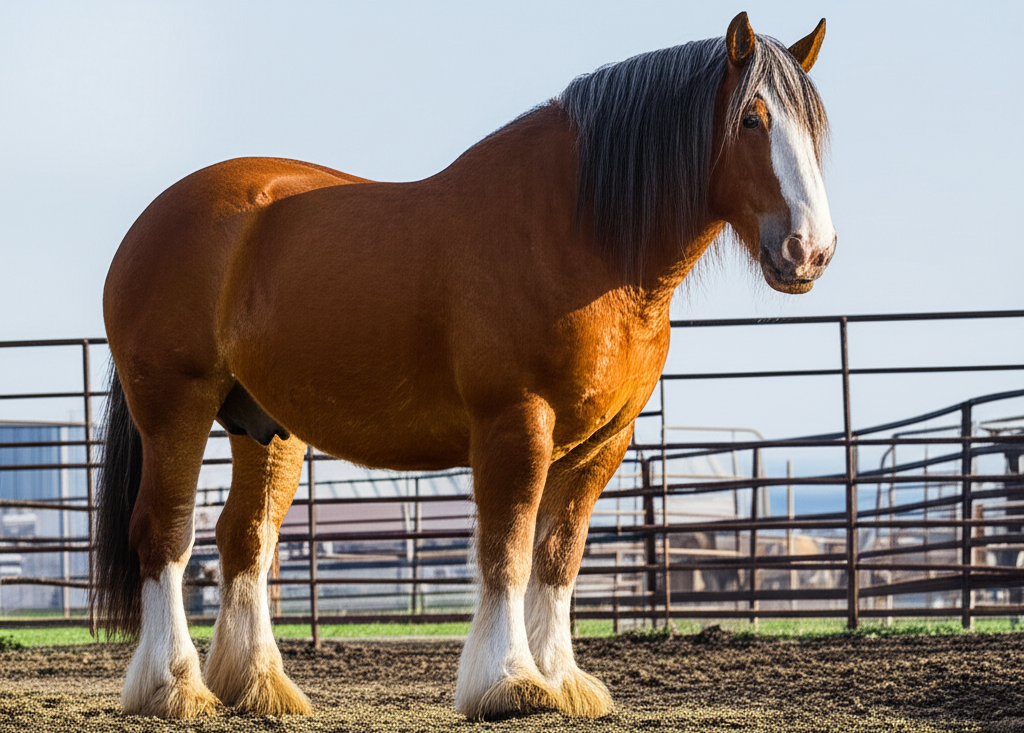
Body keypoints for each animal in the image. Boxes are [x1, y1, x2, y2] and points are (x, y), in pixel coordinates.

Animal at [93, 11, 835, 720]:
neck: (577, 235)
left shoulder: (602, 443)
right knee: (165, 534)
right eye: (751, 120)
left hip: (266, 425)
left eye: (816, 129)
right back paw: (174, 688)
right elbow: (507, 551)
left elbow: (559, 556)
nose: (810, 250)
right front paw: (512, 681)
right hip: (176, 407)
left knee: (243, 538)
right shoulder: (517, 423)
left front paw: (562, 678)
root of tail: (151, 222)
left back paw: (259, 686)